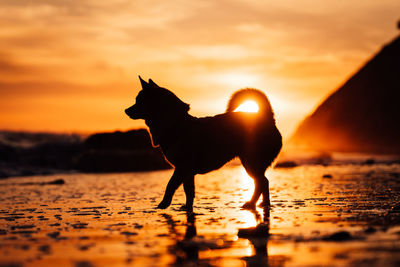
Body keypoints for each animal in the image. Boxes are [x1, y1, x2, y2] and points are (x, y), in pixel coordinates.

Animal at [125, 76, 282, 213]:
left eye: (139, 101)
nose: (126, 110)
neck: (176, 124)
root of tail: (267, 118)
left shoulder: (182, 168)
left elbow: (170, 185)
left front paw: (164, 203)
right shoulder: (187, 173)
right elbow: (189, 191)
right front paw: (187, 208)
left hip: (251, 163)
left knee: (262, 182)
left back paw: (253, 203)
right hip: (251, 164)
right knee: (263, 182)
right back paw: (263, 203)